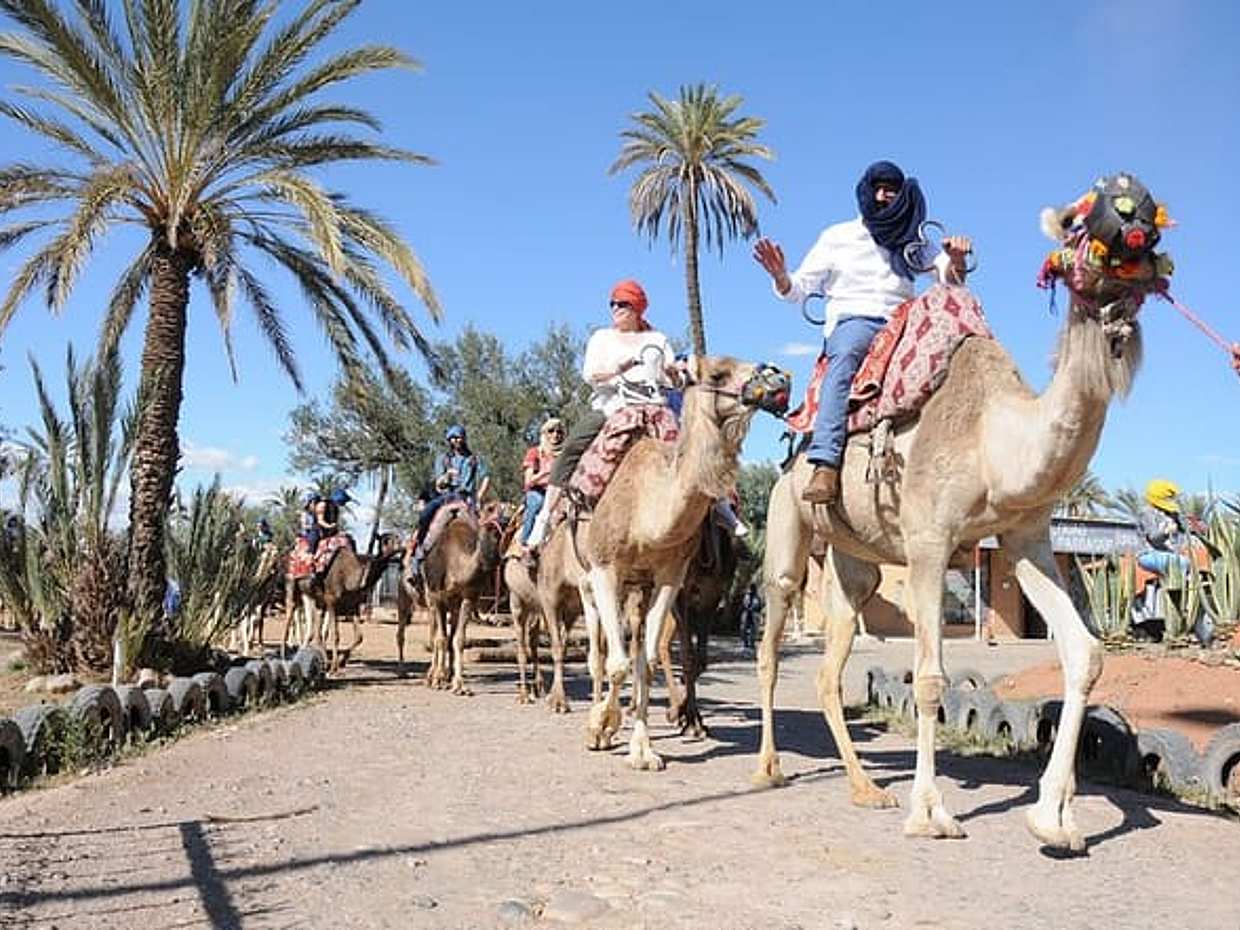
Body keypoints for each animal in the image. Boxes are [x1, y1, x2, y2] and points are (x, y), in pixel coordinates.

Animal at [286, 533, 403, 673]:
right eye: (386, 540)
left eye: (397, 537)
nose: (400, 544)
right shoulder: (332, 601)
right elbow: (335, 635)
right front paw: (334, 667)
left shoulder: (353, 605)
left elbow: (359, 636)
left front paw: (341, 662)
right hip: (294, 589)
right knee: (294, 619)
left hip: (313, 598)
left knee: (316, 631)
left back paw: (320, 660)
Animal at [403, 501, 504, 694]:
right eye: (489, 509)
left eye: (507, 516)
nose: (498, 524)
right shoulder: (437, 597)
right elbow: (441, 638)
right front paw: (438, 680)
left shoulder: (468, 598)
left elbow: (458, 639)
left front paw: (459, 684)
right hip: (429, 598)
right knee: (434, 634)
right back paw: (432, 676)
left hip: (452, 604)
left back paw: (446, 675)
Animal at [543, 355, 787, 770]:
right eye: (718, 373)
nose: (779, 379)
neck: (647, 506)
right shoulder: (607, 569)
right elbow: (618, 663)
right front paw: (603, 726)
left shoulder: (669, 577)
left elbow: (647, 663)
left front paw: (643, 750)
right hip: (588, 582)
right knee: (597, 654)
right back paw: (595, 719)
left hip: (637, 590)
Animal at [753, 221, 1165, 849]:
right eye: (1085, 239)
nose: (1129, 280)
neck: (994, 439)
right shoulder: (929, 542)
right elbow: (928, 681)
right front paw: (930, 813)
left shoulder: (1025, 540)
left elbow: (1085, 652)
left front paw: (1056, 819)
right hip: (788, 519)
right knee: (772, 639)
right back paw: (767, 769)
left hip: (854, 562)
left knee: (830, 665)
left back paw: (865, 788)